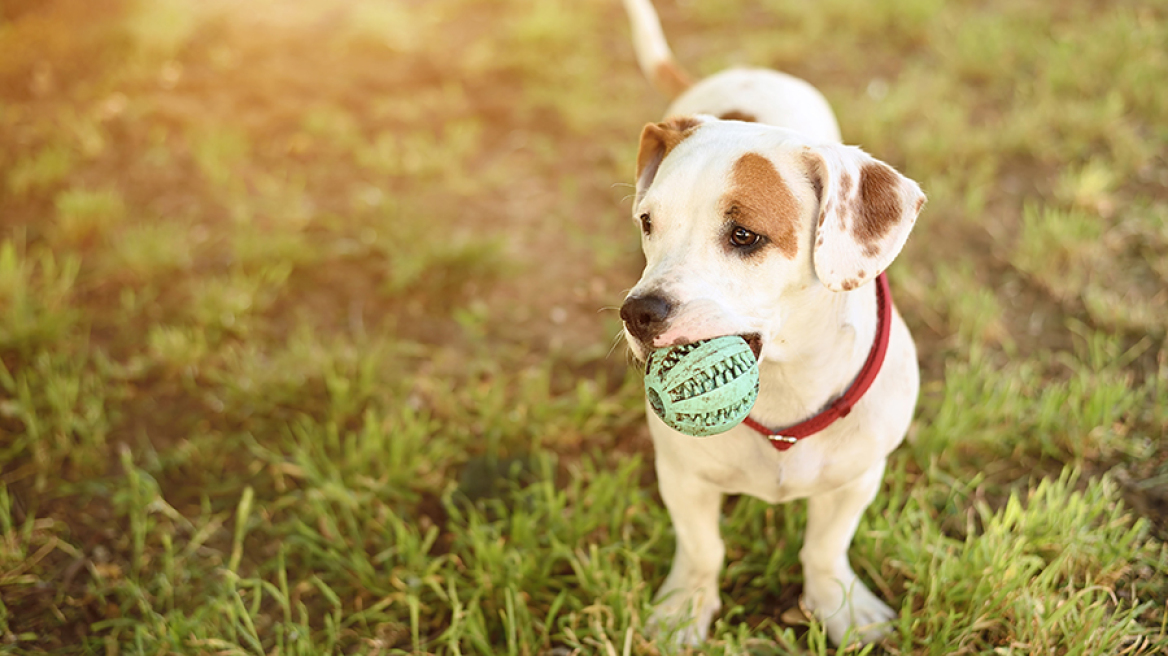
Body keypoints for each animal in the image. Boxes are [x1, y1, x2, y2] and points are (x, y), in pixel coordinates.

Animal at [616, 0, 925, 644]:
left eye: (744, 235)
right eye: (648, 223)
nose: (639, 312)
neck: (786, 381)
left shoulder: (856, 479)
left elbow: (825, 548)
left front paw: (839, 606)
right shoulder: (682, 478)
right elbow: (703, 549)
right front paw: (685, 608)